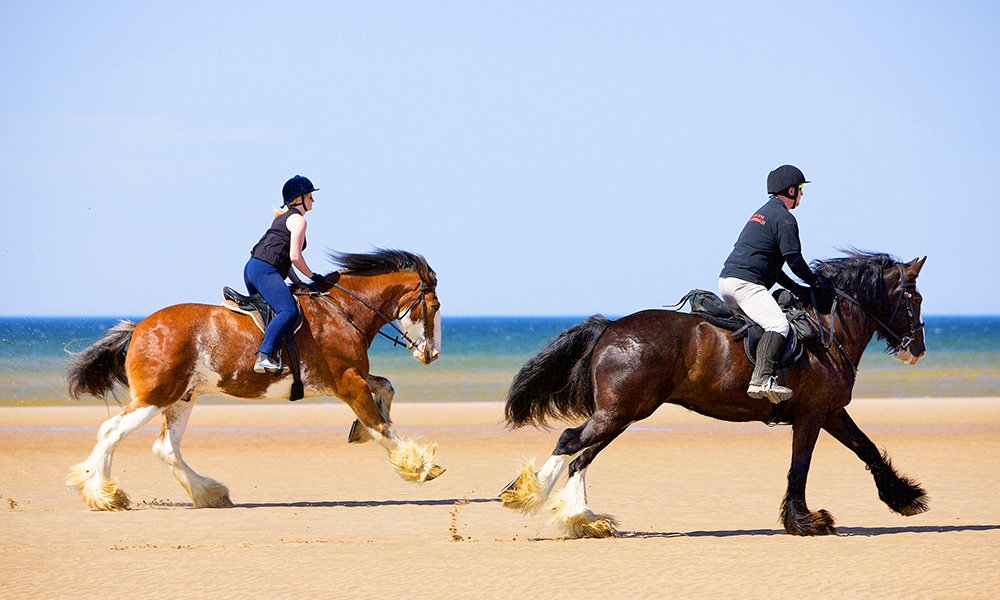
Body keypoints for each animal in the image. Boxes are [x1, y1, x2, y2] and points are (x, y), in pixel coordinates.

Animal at [68, 248, 444, 510]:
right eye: (436, 306)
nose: (432, 354)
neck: (343, 310)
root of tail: (139, 328)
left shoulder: (353, 377)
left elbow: (386, 391)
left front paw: (360, 432)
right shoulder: (348, 381)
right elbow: (382, 426)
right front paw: (419, 466)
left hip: (181, 398)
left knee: (165, 447)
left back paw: (210, 493)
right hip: (155, 396)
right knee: (112, 431)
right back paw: (103, 494)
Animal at [500, 251, 928, 536]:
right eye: (916, 298)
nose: (918, 349)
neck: (828, 330)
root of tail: (610, 327)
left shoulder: (831, 412)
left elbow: (866, 448)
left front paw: (905, 498)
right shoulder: (811, 416)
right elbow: (800, 468)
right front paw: (806, 521)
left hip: (623, 414)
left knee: (580, 456)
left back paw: (577, 516)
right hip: (620, 413)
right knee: (571, 442)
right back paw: (536, 497)